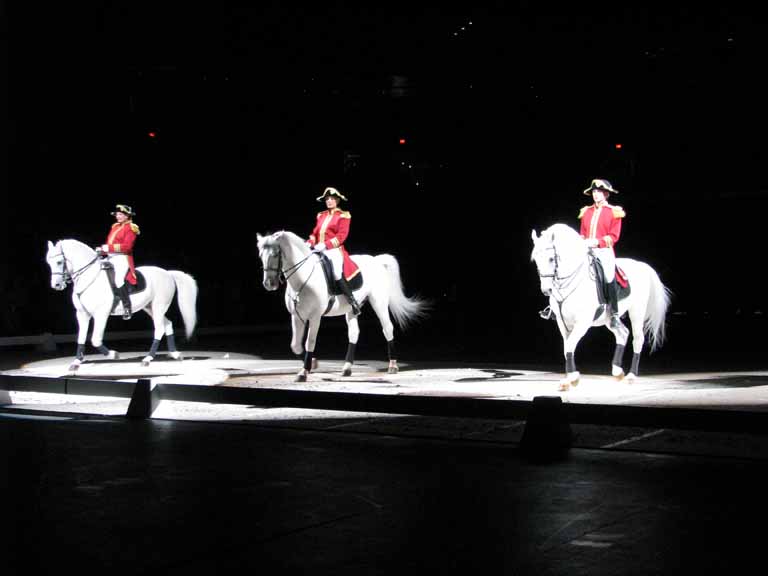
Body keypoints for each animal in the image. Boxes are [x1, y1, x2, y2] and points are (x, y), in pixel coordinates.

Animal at [45, 241, 198, 372]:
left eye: (59, 262)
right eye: (49, 263)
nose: (56, 285)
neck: (89, 278)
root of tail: (168, 273)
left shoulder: (101, 314)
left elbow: (95, 339)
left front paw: (114, 355)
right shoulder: (82, 314)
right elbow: (81, 337)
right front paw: (76, 362)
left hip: (159, 306)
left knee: (160, 329)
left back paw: (148, 358)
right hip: (150, 308)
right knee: (167, 324)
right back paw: (174, 354)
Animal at [256, 230, 426, 382]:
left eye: (275, 254)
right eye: (261, 256)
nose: (269, 284)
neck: (302, 277)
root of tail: (376, 260)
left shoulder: (315, 316)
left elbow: (310, 341)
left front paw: (304, 372)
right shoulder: (296, 316)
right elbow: (295, 345)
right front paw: (312, 363)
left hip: (379, 303)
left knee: (387, 328)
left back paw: (393, 365)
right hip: (352, 309)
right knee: (354, 333)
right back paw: (347, 367)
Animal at [532, 225, 668, 392]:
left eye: (551, 258)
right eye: (536, 259)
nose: (547, 290)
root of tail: (641, 265)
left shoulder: (582, 322)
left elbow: (570, 345)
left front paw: (573, 378)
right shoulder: (562, 322)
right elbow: (567, 347)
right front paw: (568, 380)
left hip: (637, 311)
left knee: (637, 338)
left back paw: (631, 376)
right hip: (609, 318)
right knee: (623, 333)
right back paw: (617, 371)